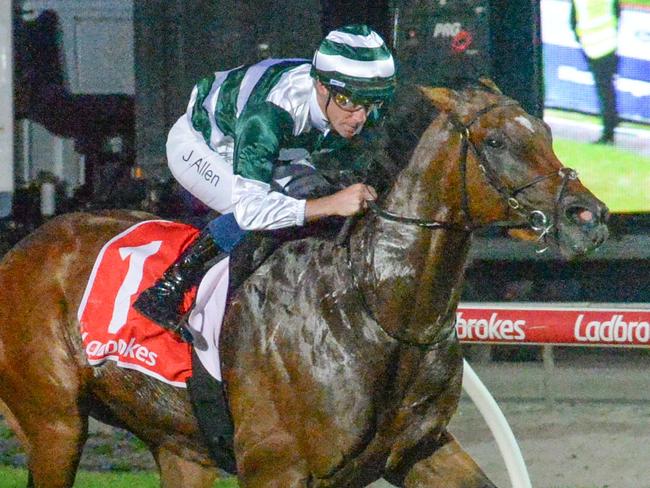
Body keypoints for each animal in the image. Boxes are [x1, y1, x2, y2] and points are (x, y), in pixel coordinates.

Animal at [0, 82, 608, 486]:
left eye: (547, 132)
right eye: (497, 142)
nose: (588, 216)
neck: (375, 307)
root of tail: (22, 249)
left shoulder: (422, 448)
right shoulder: (276, 465)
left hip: (175, 444)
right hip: (55, 425)